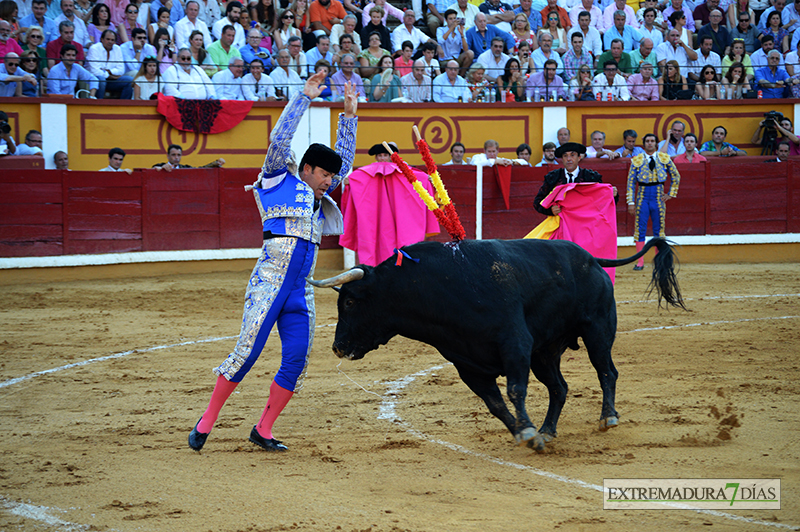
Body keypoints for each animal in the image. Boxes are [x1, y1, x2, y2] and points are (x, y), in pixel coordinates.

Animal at [310, 237, 684, 448]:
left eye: (350, 302)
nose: (338, 347)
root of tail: (592, 259)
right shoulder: (467, 364)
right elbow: (495, 404)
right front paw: (525, 433)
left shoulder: (514, 344)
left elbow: (515, 391)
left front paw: (528, 431)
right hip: (545, 352)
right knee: (559, 387)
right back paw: (548, 430)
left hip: (597, 331)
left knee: (607, 372)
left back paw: (608, 418)